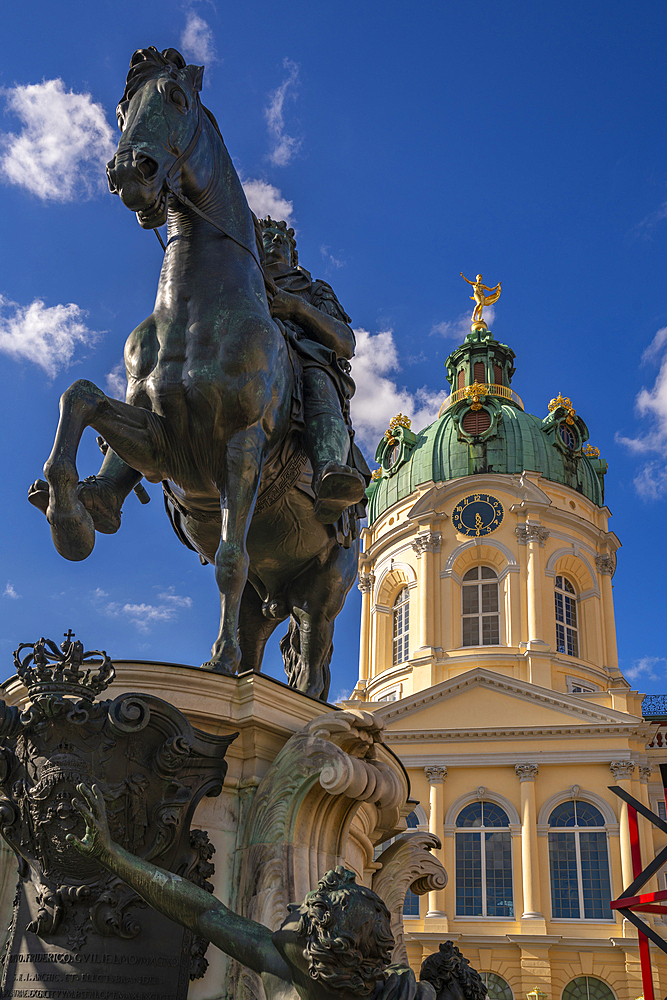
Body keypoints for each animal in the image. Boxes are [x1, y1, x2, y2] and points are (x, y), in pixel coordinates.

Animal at [30, 47, 360, 700]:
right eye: (122, 108)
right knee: (262, 632)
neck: (194, 309)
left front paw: (215, 664)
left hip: (326, 583)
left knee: (313, 662)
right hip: (268, 592)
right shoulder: (162, 440)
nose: (131, 170)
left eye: (177, 99)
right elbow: (80, 397)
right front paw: (71, 519)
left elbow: (230, 557)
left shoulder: (242, 446)